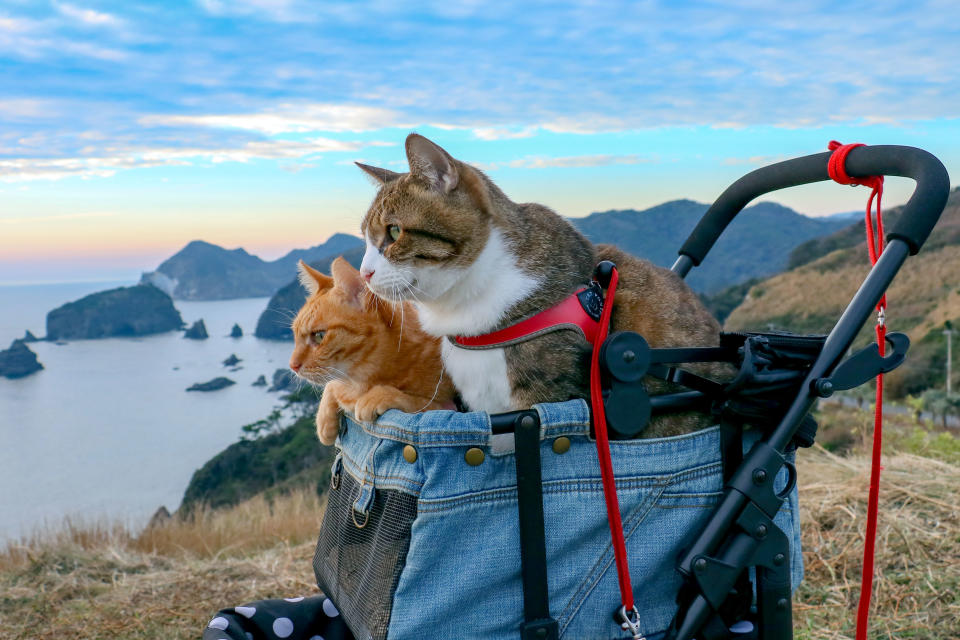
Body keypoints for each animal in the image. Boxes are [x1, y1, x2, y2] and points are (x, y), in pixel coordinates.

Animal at [286, 255, 456, 444]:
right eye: (294, 335)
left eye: (319, 336)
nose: (292, 365)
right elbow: (332, 385)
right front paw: (324, 420)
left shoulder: (449, 406)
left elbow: (419, 403)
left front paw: (378, 396)